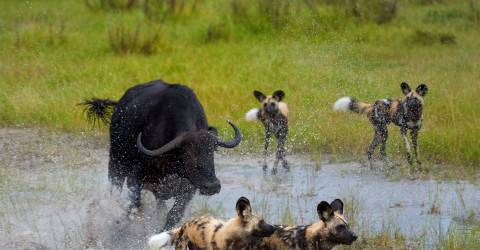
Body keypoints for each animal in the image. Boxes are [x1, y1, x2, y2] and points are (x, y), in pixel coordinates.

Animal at [81, 80, 244, 230]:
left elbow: (173, 215)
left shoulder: (188, 189)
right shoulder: (135, 179)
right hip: (116, 162)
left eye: (212, 151)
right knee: (114, 190)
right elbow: (134, 208)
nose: (212, 186)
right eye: (187, 154)